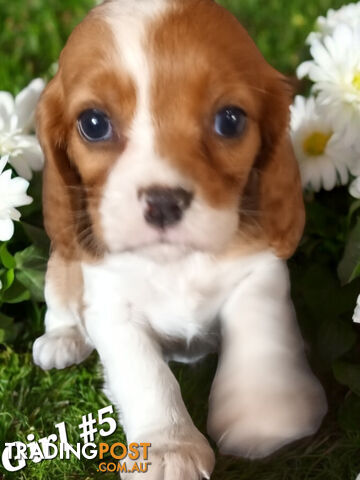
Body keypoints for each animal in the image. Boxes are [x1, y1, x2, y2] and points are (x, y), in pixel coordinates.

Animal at [32, 1, 328, 478]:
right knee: (59, 298)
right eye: (93, 124)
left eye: (230, 120)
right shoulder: (111, 309)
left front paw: (265, 416)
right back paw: (62, 340)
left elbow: (259, 336)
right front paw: (169, 447)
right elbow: (147, 375)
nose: (163, 202)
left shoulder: (259, 273)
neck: (175, 263)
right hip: (62, 261)